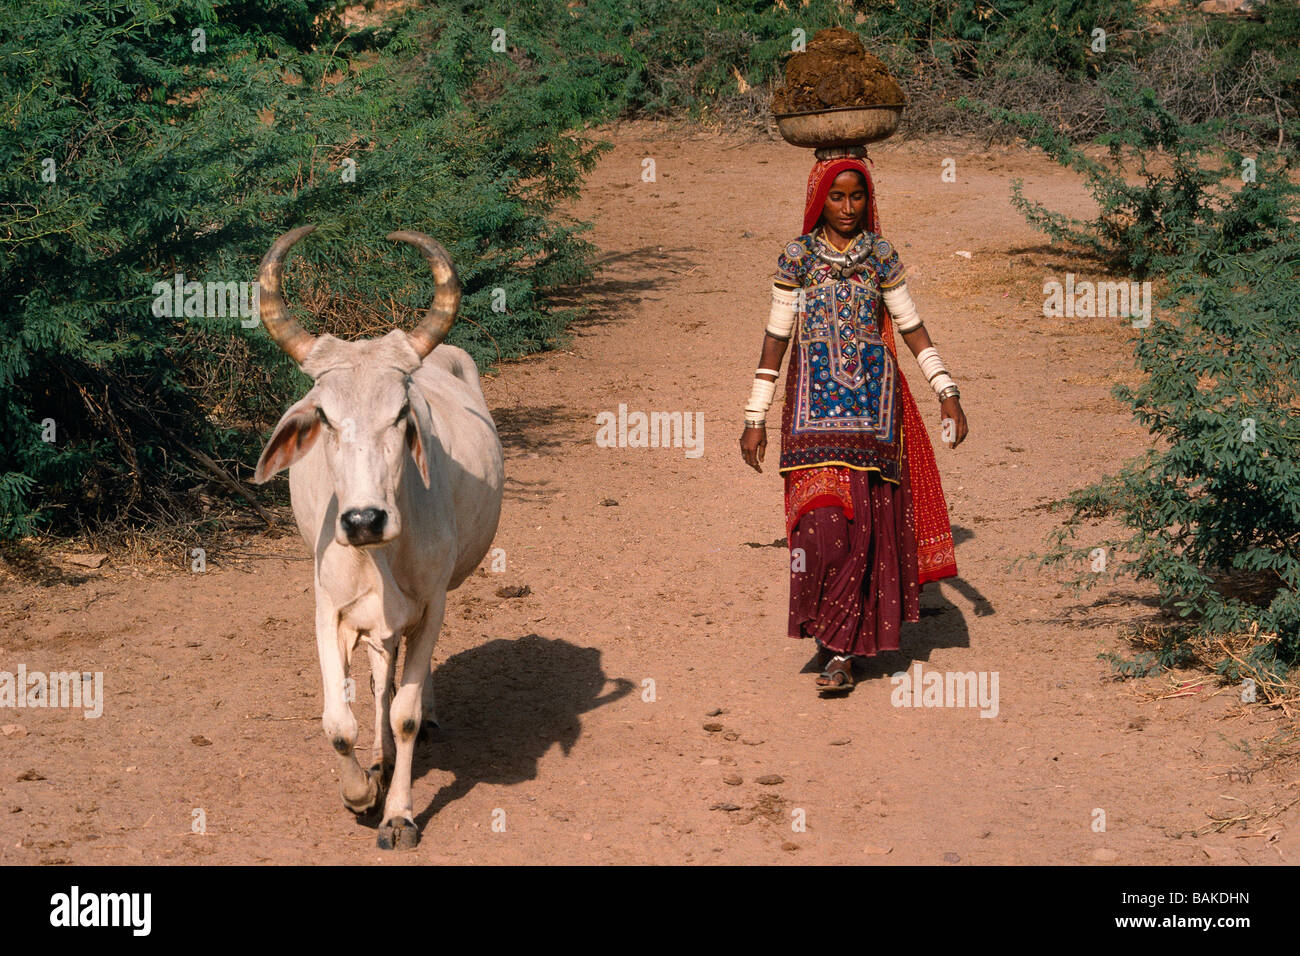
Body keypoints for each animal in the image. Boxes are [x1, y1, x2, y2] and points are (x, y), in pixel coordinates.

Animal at [251, 226, 504, 849]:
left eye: (402, 415)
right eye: (325, 418)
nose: (364, 520)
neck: (380, 555)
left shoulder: (431, 604)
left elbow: (404, 714)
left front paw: (398, 814)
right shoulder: (327, 609)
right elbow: (339, 721)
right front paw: (360, 790)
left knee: (404, 686)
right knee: (377, 679)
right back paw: (378, 760)